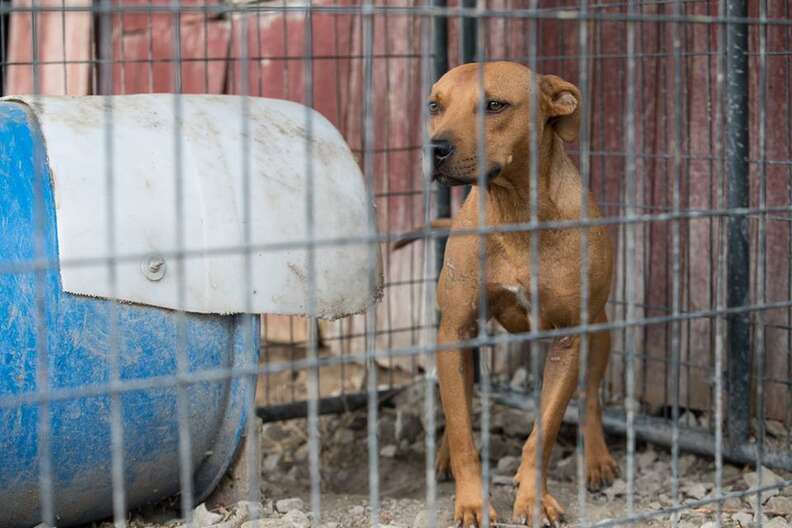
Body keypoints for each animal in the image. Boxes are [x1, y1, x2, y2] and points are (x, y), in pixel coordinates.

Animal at [400, 62, 616, 524]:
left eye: (495, 105)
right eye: (434, 105)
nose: (435, 148)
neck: (515, 212)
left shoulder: (570, 339)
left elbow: (545, 429)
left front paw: (534, 498)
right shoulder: (456, 331)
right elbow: (461, 428)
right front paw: (471, 502)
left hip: (600, 329)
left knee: (590, 398)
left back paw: (597, 460)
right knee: (459, 403)